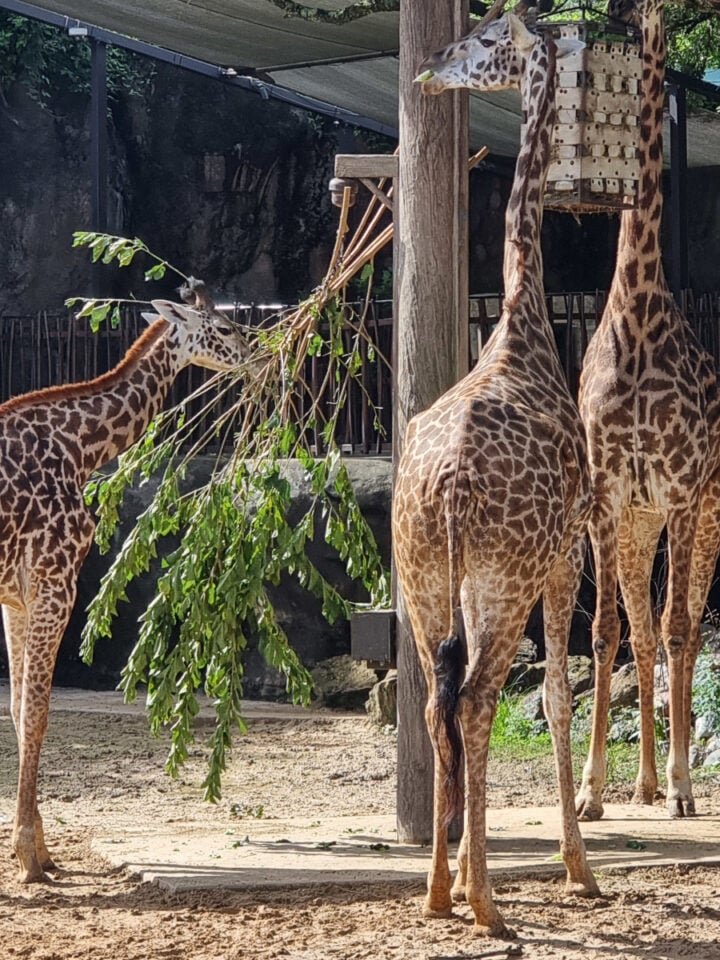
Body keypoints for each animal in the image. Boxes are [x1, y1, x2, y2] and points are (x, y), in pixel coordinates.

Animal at [0, 279, 254, 882]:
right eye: (226, 327)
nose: (256, 359)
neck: (80, 447)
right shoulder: (56, 578)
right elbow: (37, 712)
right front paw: (28, 857)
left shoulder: (18, 595)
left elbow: (19, 710)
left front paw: (41, 850)